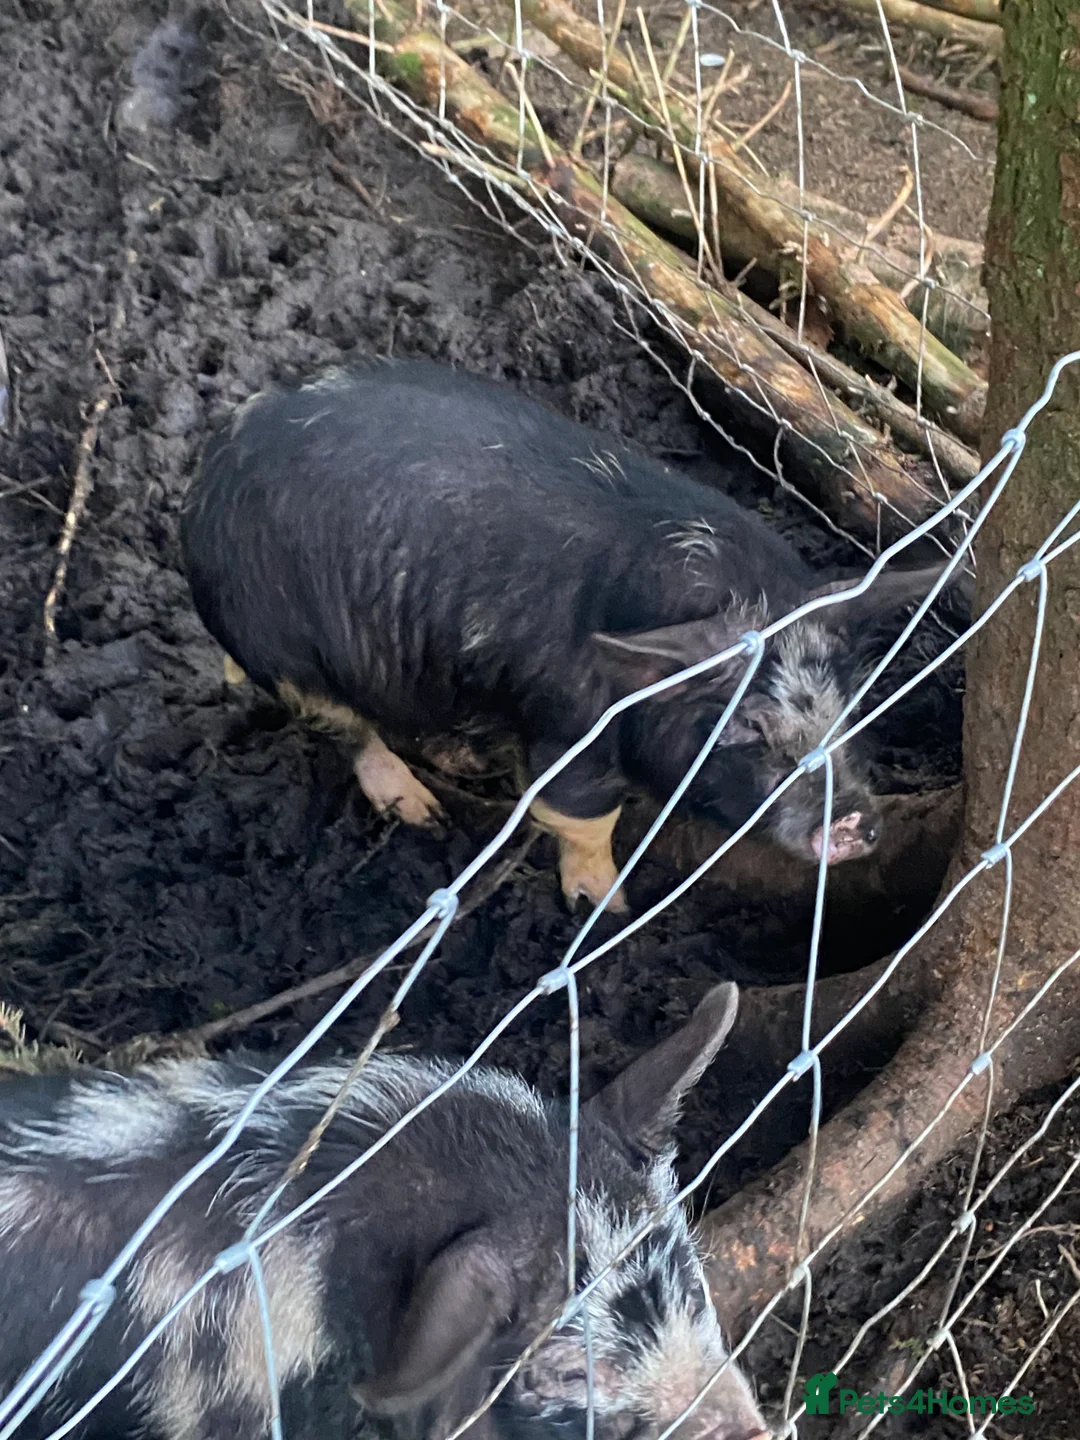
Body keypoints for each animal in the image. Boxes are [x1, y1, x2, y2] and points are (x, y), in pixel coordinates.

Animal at [180, 358, 949, 912]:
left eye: (849, 704)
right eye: (750, 725)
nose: (858, 823)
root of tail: (215, 460)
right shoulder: (569, 721)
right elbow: (580, 813)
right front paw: (607, 909)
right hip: (283, 646)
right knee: (345, 727)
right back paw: (425, 814)